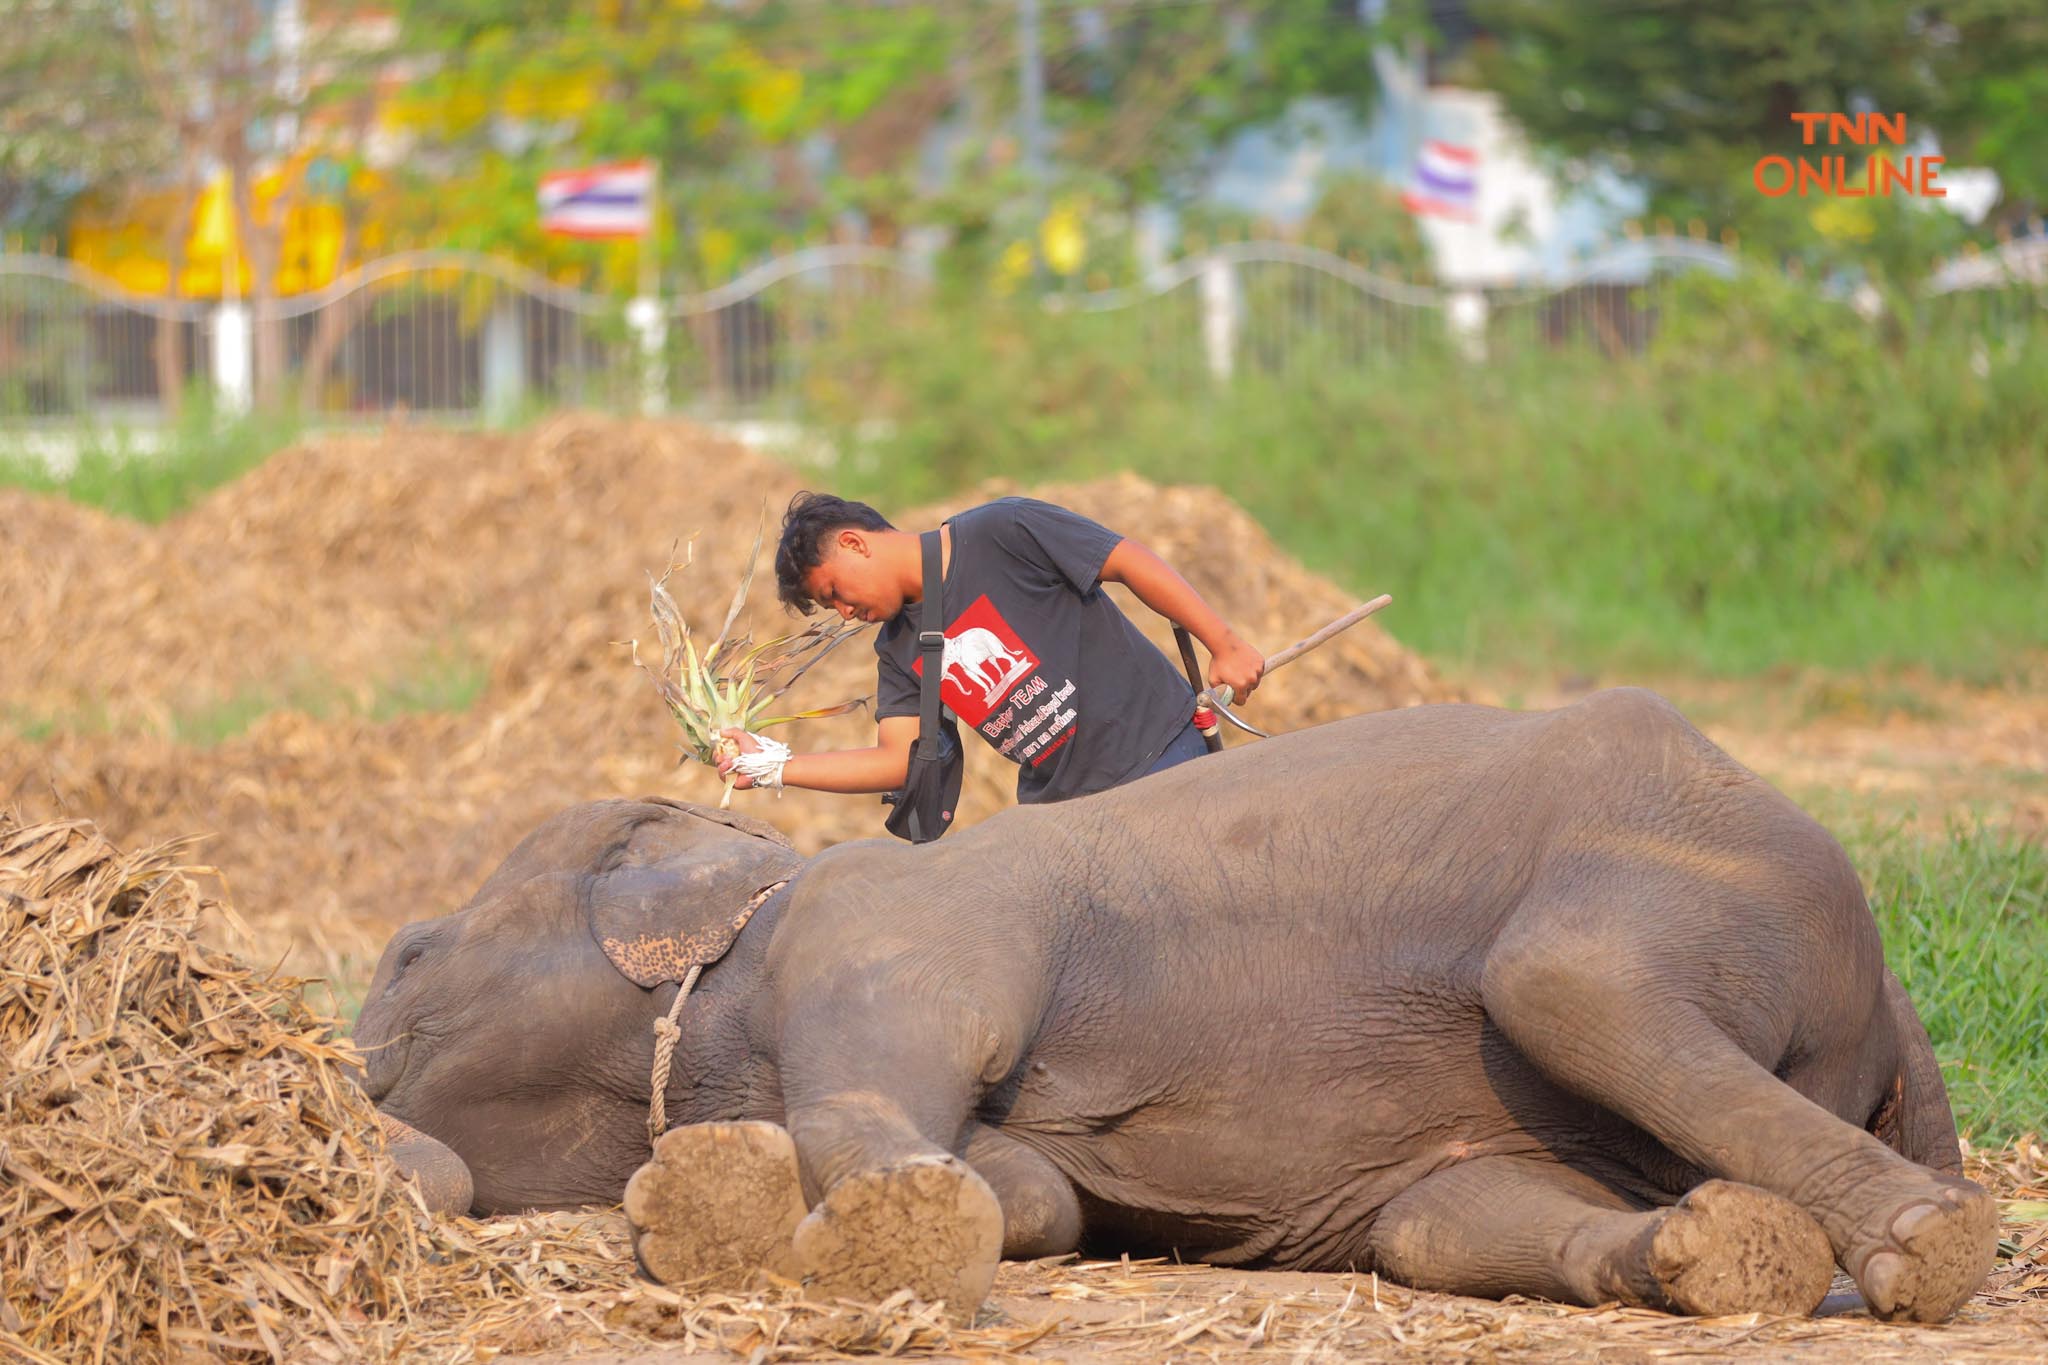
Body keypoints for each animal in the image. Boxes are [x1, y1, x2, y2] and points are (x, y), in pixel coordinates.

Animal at [356, 695, 1998, 1326]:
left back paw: (1923, 1250)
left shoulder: (892, 926)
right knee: (1439, 1225)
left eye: (410, 954)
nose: (344, 1063)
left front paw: (803, 1217)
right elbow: (1032, 1190)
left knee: (1569, 986)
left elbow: (892, 1077)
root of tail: (1890, 992)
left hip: (1669, 894)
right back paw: (1721, 1254)